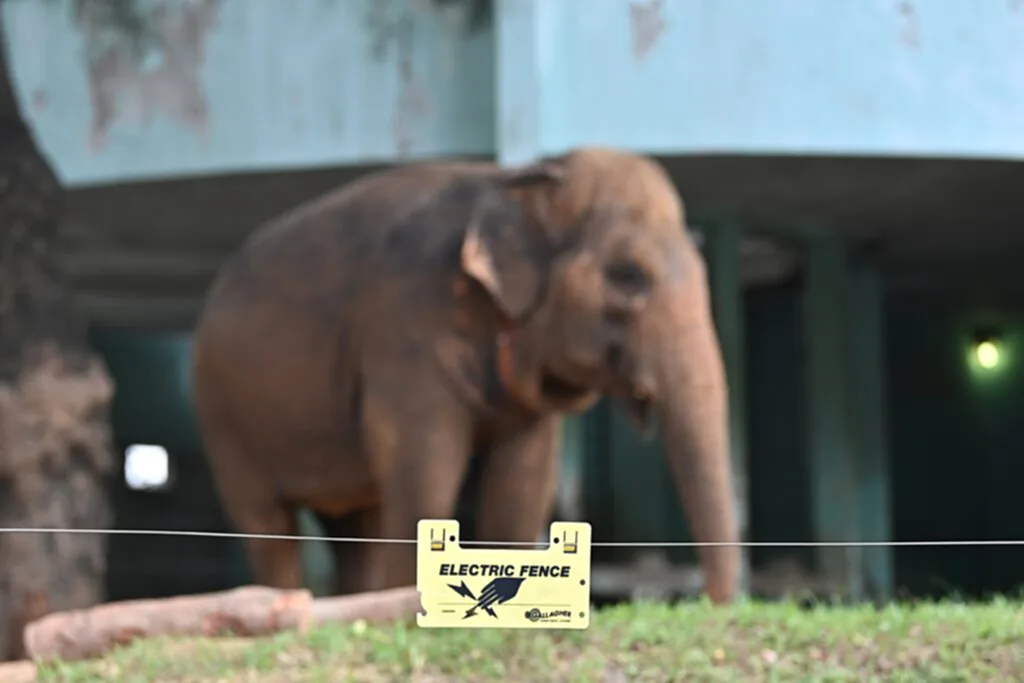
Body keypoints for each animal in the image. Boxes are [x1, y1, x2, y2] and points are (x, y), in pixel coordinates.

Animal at [190, 148, 737, 602]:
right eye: (628, 276)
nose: (710, 603)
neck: (522, 176)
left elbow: (524, 479)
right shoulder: (409, 324)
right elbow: (424, 464)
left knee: (356, 525)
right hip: (223, 414)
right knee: (269, 524)